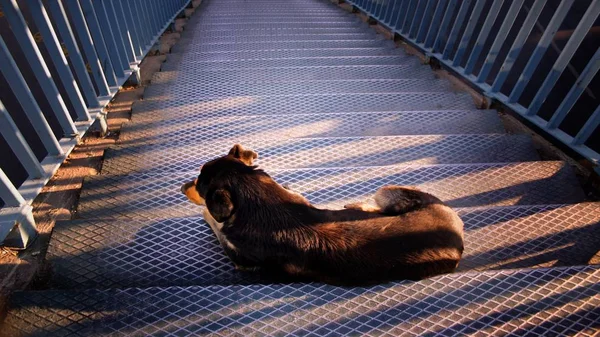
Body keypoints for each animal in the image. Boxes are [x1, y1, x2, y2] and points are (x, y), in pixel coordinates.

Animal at [182, 144, 464, 284]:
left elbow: (215, 223)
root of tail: (457, 227)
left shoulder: (237, 256)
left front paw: (206, 214)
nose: (182, 186)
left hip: (388, 189)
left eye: (199, 183)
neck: (255, 196)